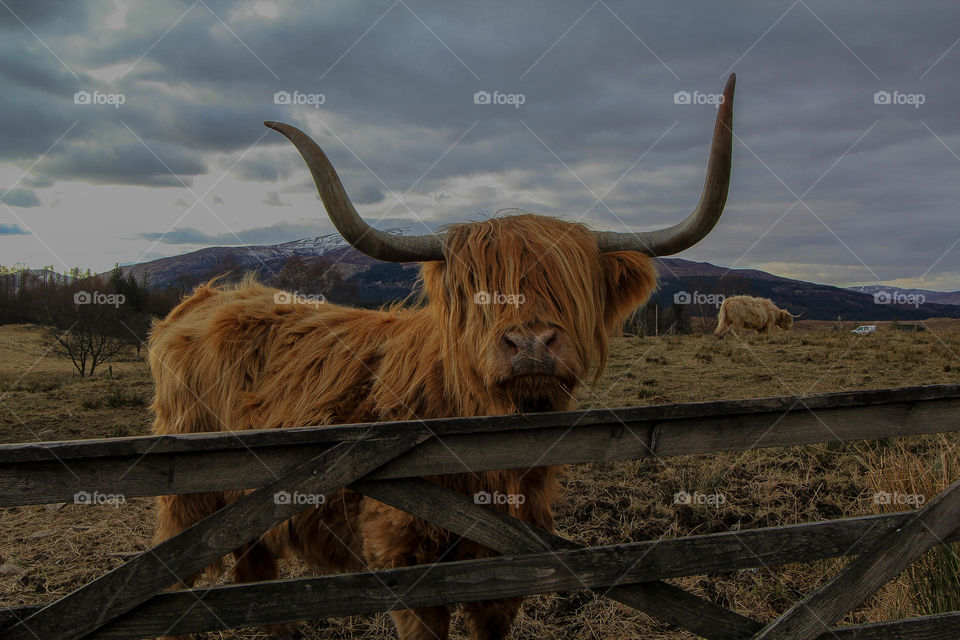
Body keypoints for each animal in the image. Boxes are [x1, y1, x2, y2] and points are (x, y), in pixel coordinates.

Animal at [149, 75, 735, 640]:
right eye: (478, 289)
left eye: (572, 287)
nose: (530, 345)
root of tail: (207, 298)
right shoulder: (404, 560)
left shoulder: (508, 564)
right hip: (190, 500)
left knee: (258, 584)